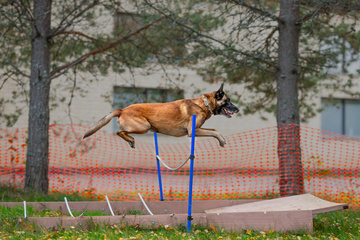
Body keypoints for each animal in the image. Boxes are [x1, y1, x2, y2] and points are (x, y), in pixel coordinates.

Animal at [82, 84, 238, 148]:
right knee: (119, 132)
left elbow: (214, 130)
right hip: (144, 126)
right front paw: (222, 141)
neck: (204, 104)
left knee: (121, 132)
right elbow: (215, 132)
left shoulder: (197, 130)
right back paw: (131, 140)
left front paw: (222, 140)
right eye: (228, 101)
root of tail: (122, 109)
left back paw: (130, 141)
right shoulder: (193, 131)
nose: (237, 109)